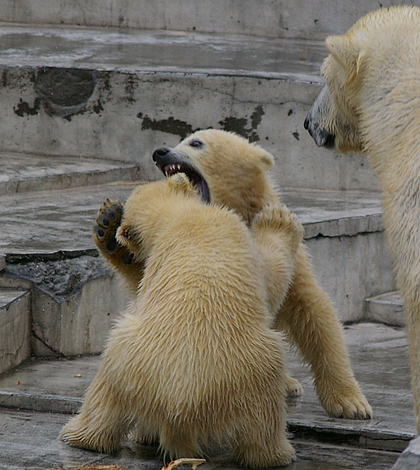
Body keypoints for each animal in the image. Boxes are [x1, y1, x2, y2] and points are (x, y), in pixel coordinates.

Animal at [94, 129, 370, 422]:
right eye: (183, 139)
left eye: (196, 143)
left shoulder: (292, 260)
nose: (160, 152)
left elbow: (312, 310)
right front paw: (110, 224)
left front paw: (351, 402)